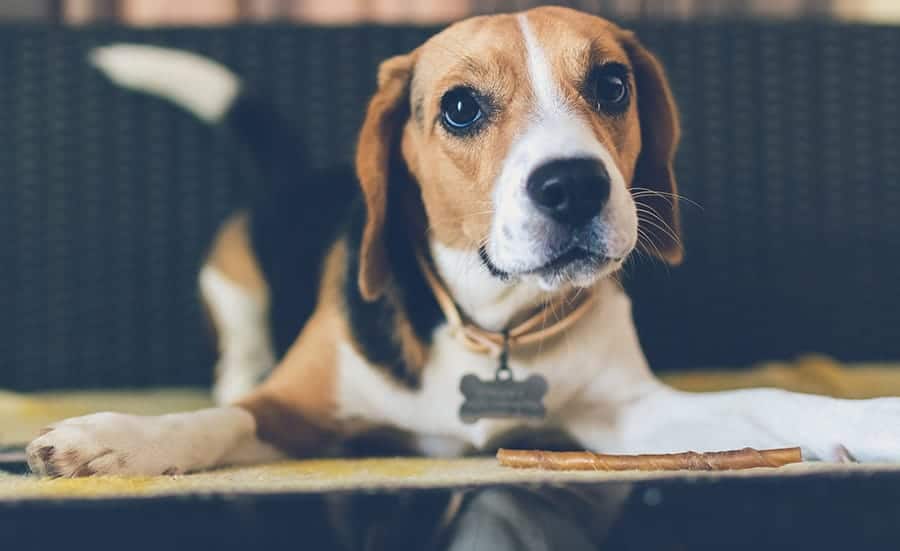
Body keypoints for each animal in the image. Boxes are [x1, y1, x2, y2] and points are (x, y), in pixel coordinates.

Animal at [24, 5, 900, 478]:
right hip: (230, 279)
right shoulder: (290, 406)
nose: (573, 185)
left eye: (612, 83)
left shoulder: (631, 415)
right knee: (237, 356)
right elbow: (216, 421)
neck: (492, 319)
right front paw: (113, 439)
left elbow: (773, 401)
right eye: (459, 107)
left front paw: (873, 421)